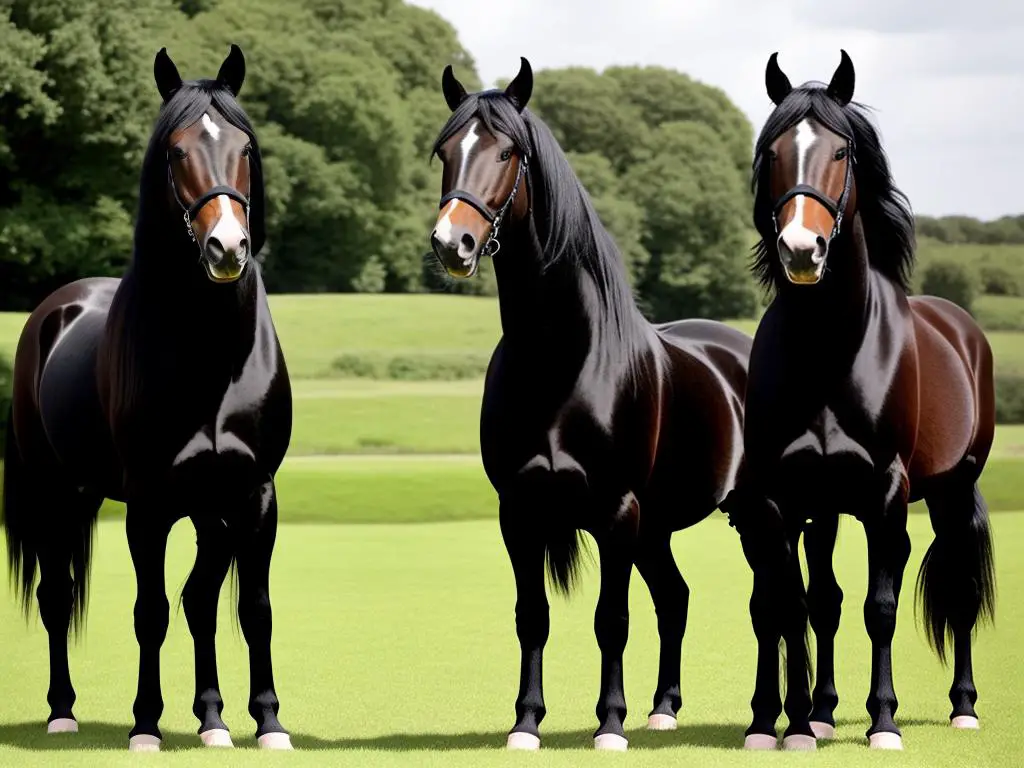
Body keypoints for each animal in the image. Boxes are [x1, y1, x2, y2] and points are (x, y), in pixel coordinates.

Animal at [2, 45, 294, 753]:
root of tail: (54, 308)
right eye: (176, 151)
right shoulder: (150, 504)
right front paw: (144, 725)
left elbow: (247, 607)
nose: (227, 248)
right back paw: (61, 711)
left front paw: (265, 722)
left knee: (200, 600)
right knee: (56, 596)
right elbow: (149, 611)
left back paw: (212, 719)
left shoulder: (252, 495)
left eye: (245, 147)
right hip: (55, 493)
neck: (214, 362)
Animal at [428, 58, 757, 753]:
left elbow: (612, 618)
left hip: (742, 513)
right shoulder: (520, 512)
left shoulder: (615, 512)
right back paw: (663, 709)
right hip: (657, 528)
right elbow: (533, 616)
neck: (564, 362)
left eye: (508, 152)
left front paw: (609, 724)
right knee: (676, 598)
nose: (453, 243)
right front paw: (526, 723)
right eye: (445, 151)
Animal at [724, 49, 995, 753]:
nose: (801, 249)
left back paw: (963, 707)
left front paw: (883, 722)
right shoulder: (784, 496)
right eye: (772, 150)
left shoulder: (885, 495)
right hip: (827, 506)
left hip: (953, 491)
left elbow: (881, 607)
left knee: (958, 584)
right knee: (823, 601)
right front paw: (781, 725)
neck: (831, 349)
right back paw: (819, 712)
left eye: (842, 150)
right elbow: (792, 603)